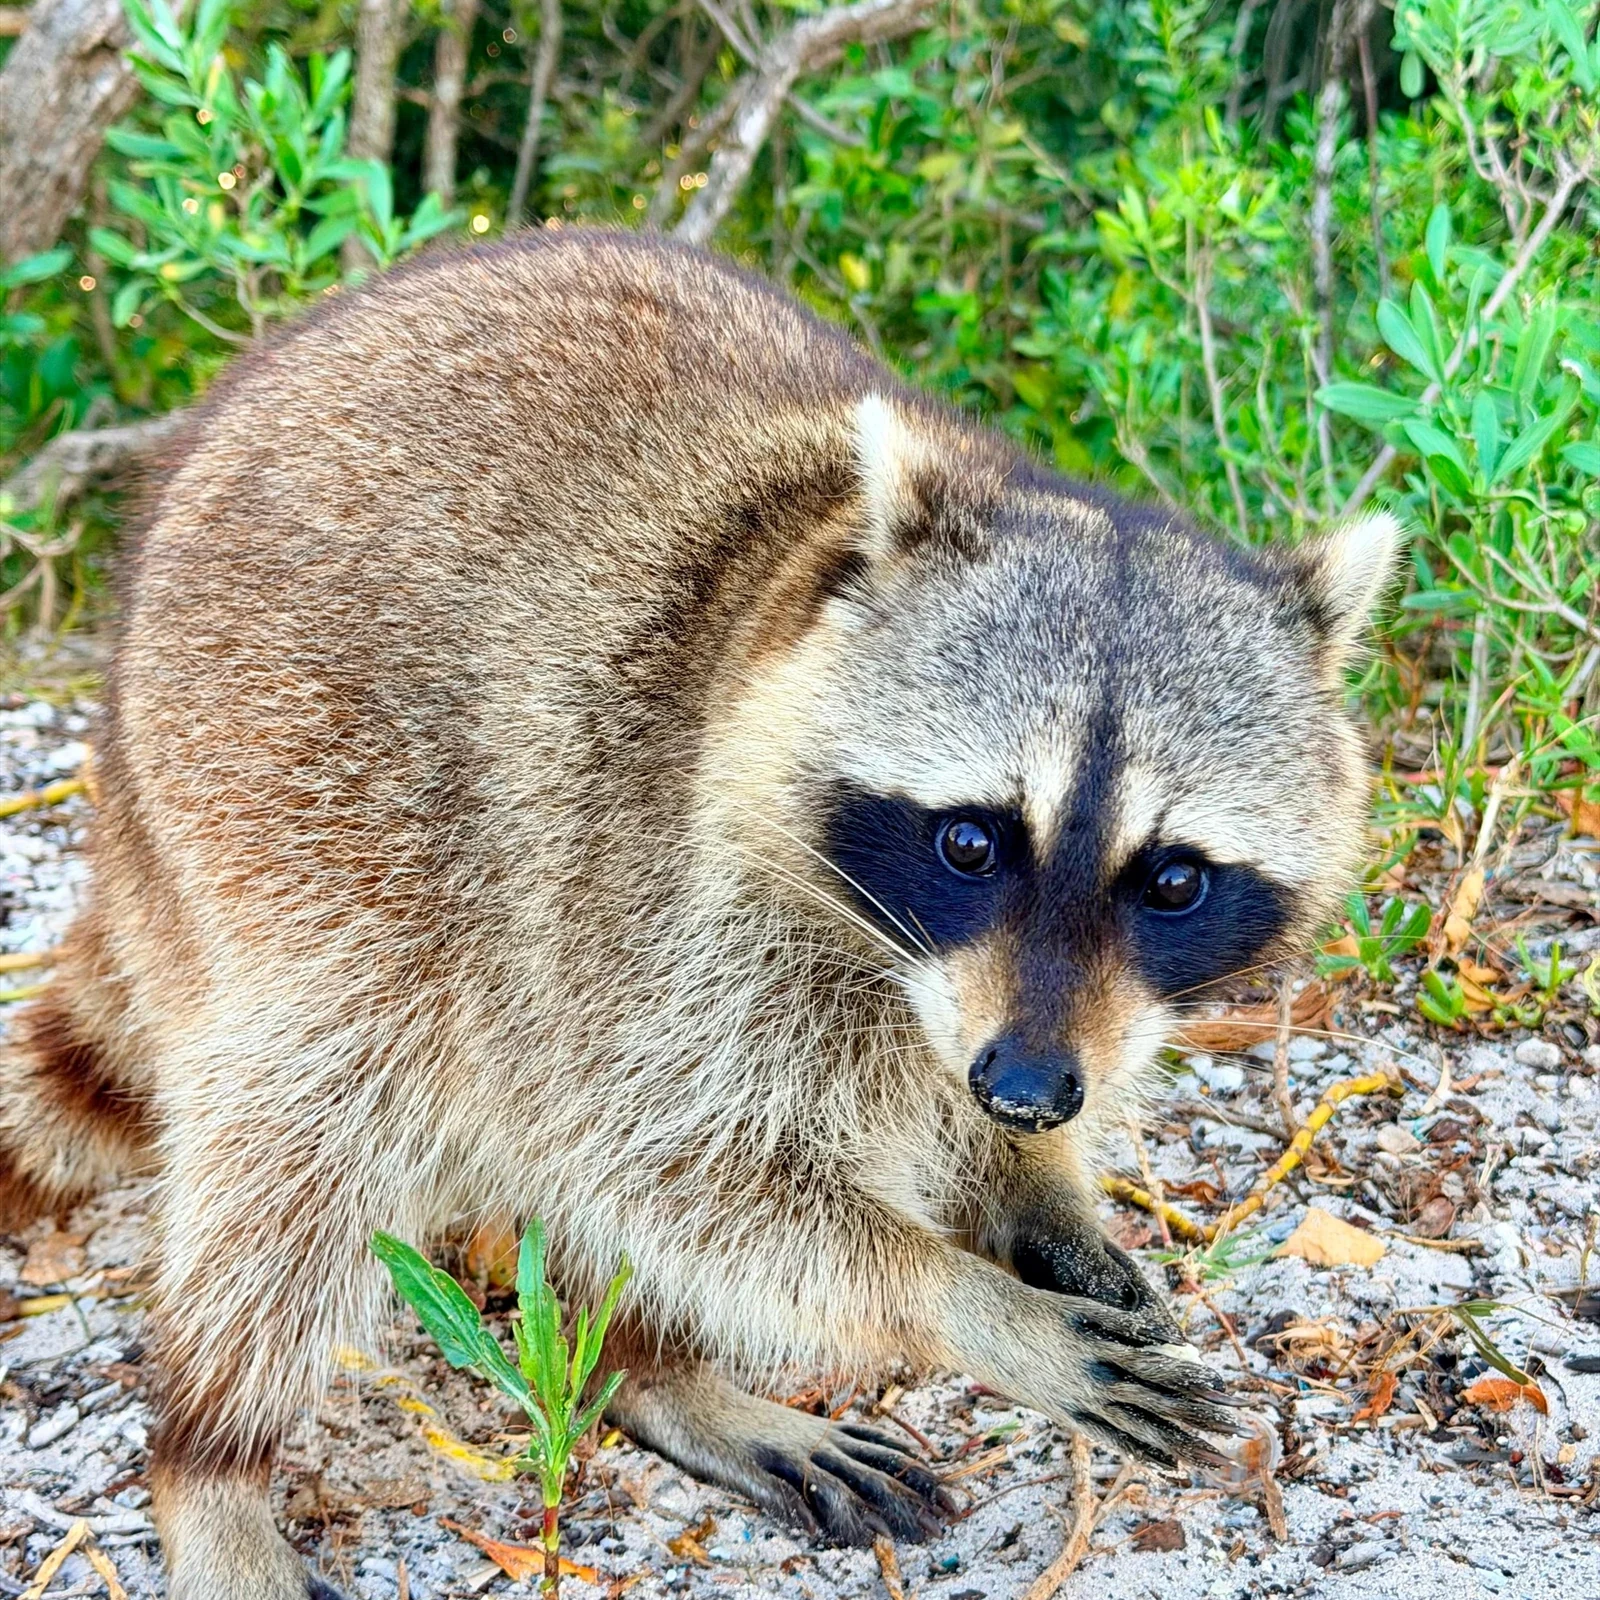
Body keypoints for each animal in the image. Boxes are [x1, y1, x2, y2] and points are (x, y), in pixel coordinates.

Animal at [0, 230, 1395, 1600]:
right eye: (970, 841)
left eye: (1172, 880)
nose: (1027, 1092)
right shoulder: (647, 887)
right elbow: (669, 1169)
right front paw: (962, 1299)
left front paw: (1043, 1198)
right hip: (280, 789)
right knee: (311, 1132)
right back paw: (215, 1458)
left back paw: (646, 1366)